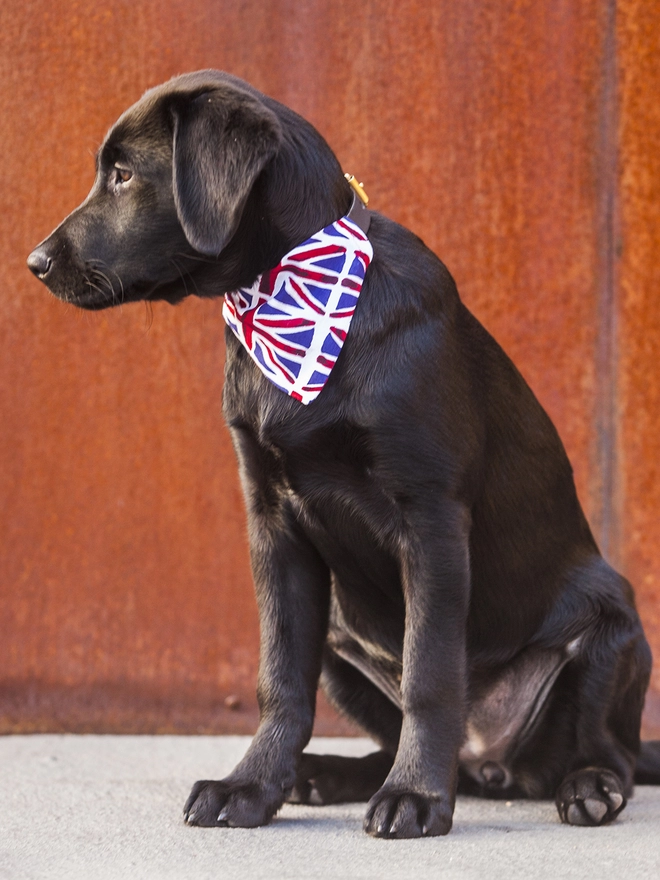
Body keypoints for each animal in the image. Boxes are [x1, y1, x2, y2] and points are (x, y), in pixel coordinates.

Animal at [27, 72, 660, 836]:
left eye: (124, 175)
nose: (34, 263)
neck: (293, 299)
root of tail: (494, 763)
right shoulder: (274, 525)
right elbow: (280, 680)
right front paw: (251, 786)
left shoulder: (432, 518)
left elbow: (430, 674)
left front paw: (416, 796)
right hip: (337, 640)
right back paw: (324, 774)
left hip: (613, 625)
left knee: (607, 750)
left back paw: (586, 786)